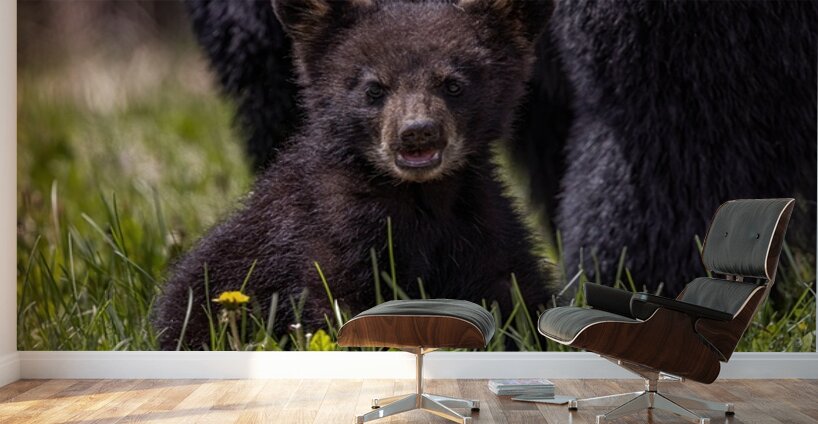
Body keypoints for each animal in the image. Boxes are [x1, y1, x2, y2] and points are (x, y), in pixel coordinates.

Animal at [155, 0, 554, 350]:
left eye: (453, 84)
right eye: (373, 88)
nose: (417, 132)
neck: (419, 195)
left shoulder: (481, 220)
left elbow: (515, 289)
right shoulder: (330, 233)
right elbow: (339, 304)